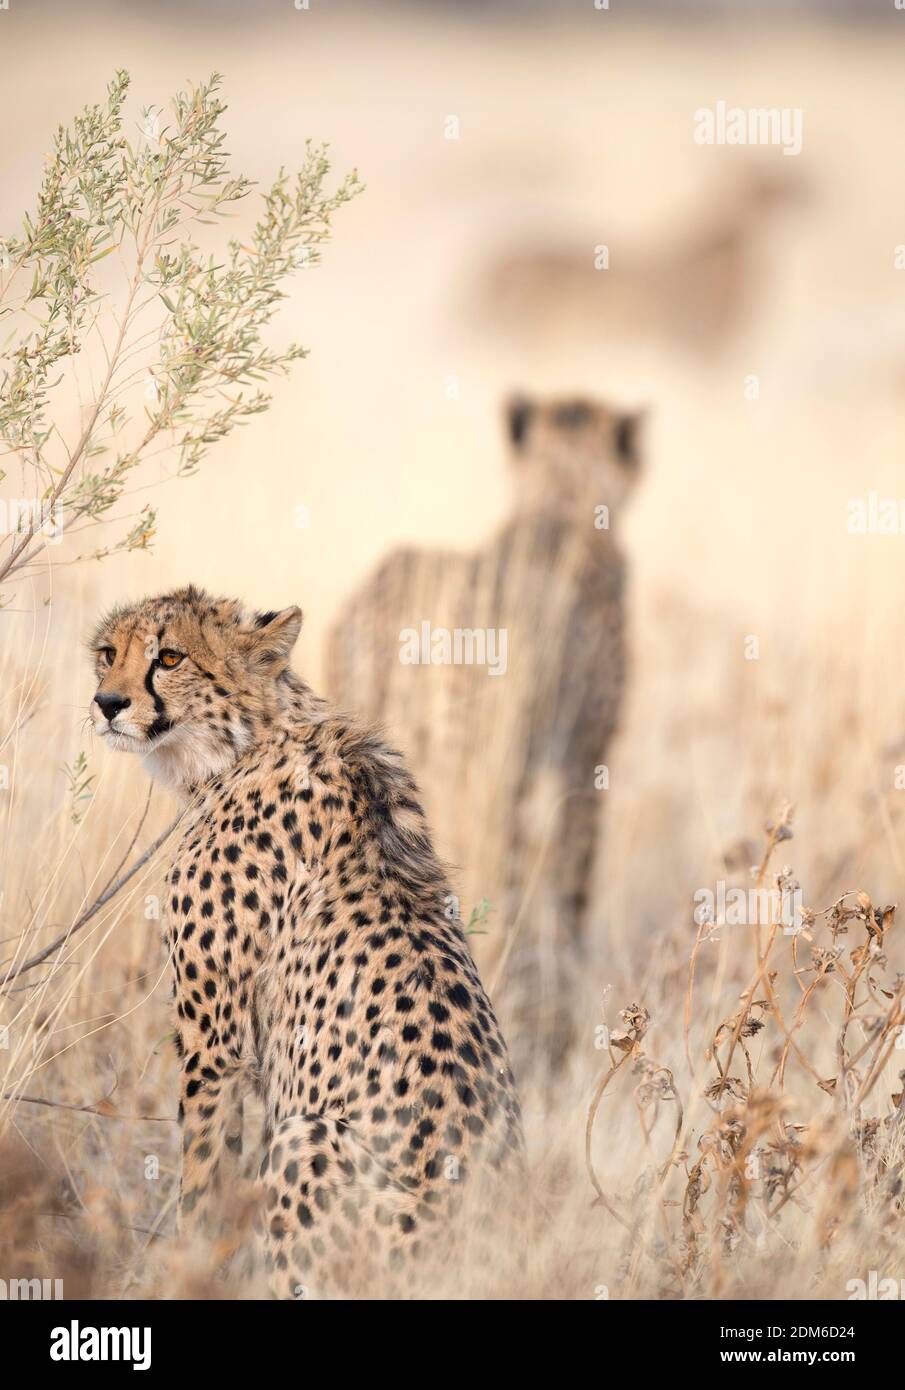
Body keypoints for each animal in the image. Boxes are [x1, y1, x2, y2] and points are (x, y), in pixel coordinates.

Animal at [90, 589, 522, 1301]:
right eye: (107, 653)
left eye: (170, 657)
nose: (107, 703)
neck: (244, 743)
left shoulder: (216, 1042)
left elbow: (203, 1178)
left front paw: (188, 1270)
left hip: (309, 1140)